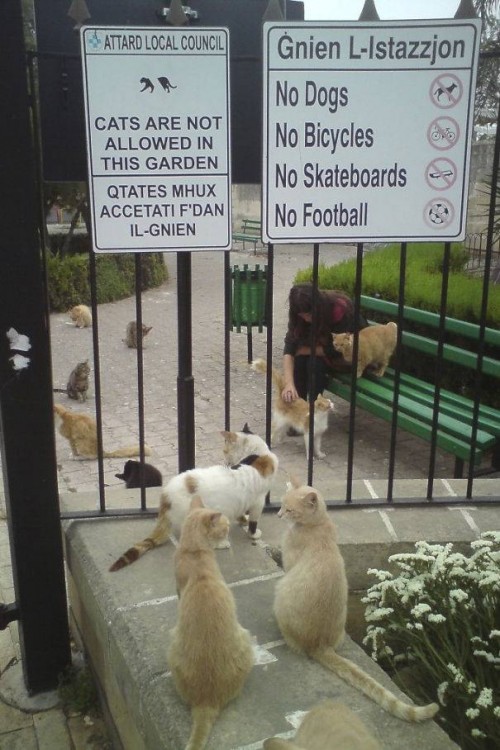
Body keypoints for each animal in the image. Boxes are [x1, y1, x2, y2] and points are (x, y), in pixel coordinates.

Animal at [108, 426, 278, 572]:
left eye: (225, 450)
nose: (225, 460)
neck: (258, 454)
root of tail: (165, 498)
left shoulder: (239, 501)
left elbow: (241, 513)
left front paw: (243, 520)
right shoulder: (259, 501)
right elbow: (254, 522)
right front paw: (253, 533)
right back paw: (222, 543)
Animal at [272, 478, 440, 724]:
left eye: (289, 509)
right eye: (281, 505)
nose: (278, 514)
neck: (318, 525)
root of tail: (319, 644)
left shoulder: (288, 564)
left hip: (280, 593)